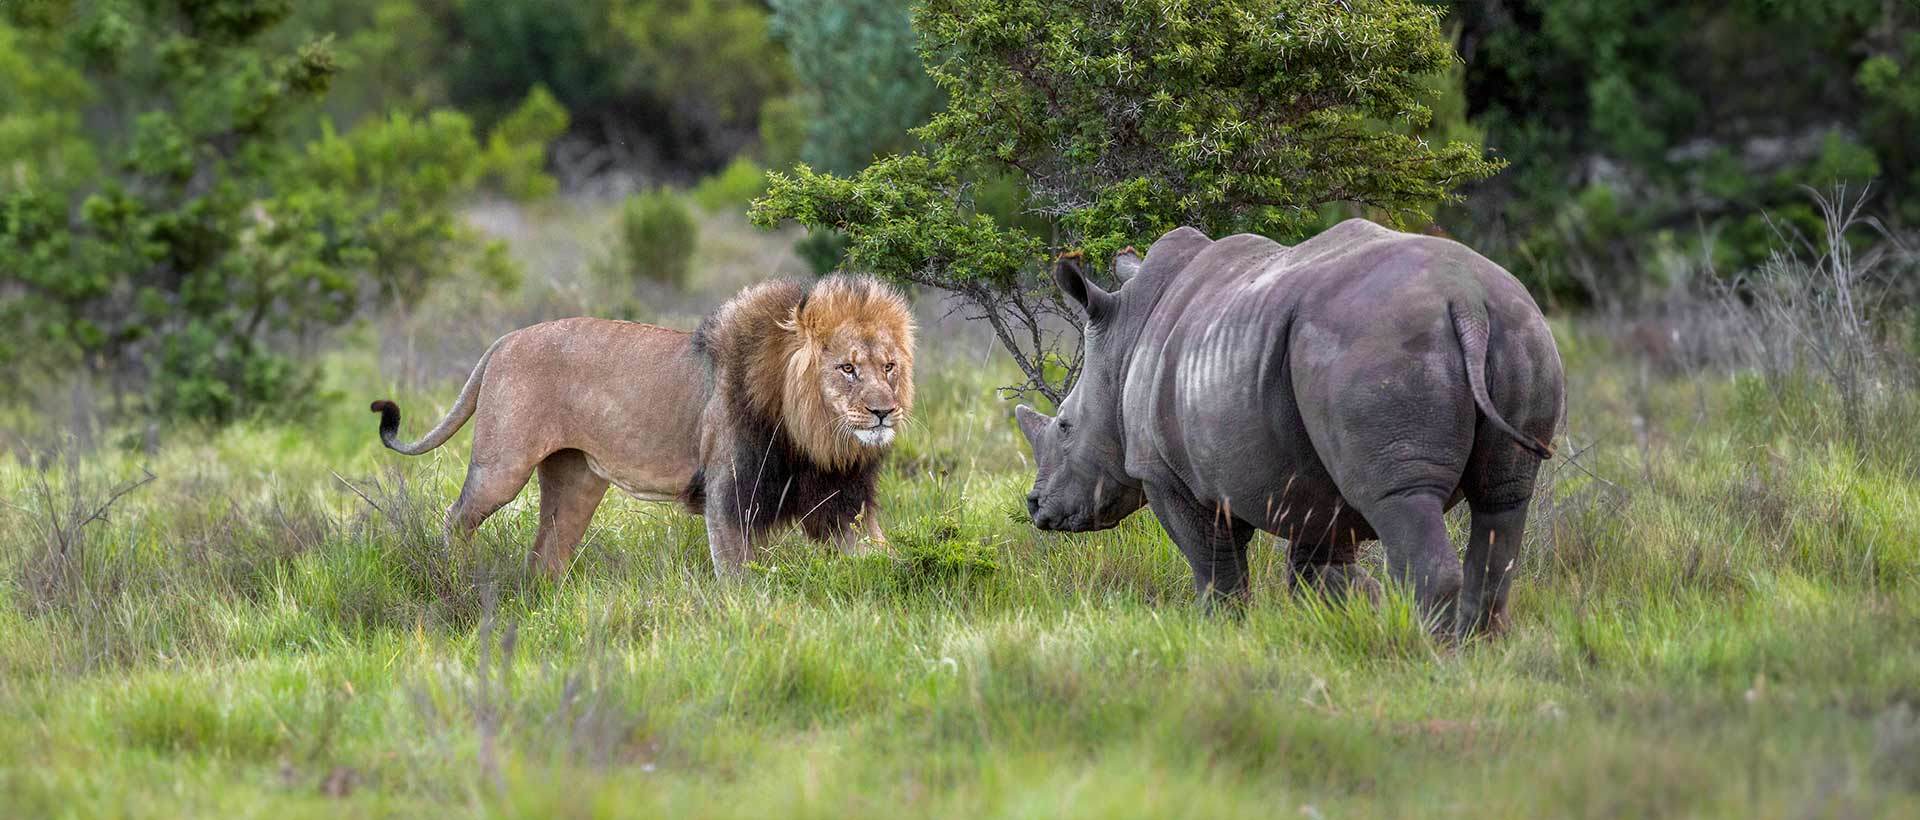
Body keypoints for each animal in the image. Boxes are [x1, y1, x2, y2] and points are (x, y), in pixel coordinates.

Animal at [368, 275, 915, 577]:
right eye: (847, 369)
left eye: (889, 367)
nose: (884, 411)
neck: (817, 439)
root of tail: (503, 340)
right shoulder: (729, 497)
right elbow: (740, 579)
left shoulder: (843, 504)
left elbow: (886, 561)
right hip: (501, 467)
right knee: (455, 518)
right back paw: (455, 578)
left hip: (576, 481)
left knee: (545, 555)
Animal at [1017, 219, 1563, 637]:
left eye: (1064, 426)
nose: (1036, 506)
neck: (1127, 339)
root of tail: (1466, 301)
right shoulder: (1309, 480)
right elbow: (1318, 571)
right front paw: (1346, 619)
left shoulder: (1165, 473)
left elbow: (1214, 565)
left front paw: (1220, 632)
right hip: (1521, 327)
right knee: (1504, 498)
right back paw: (1478, 647)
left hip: (1376, 343)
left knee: (1402, 498)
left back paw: (1432, 654)